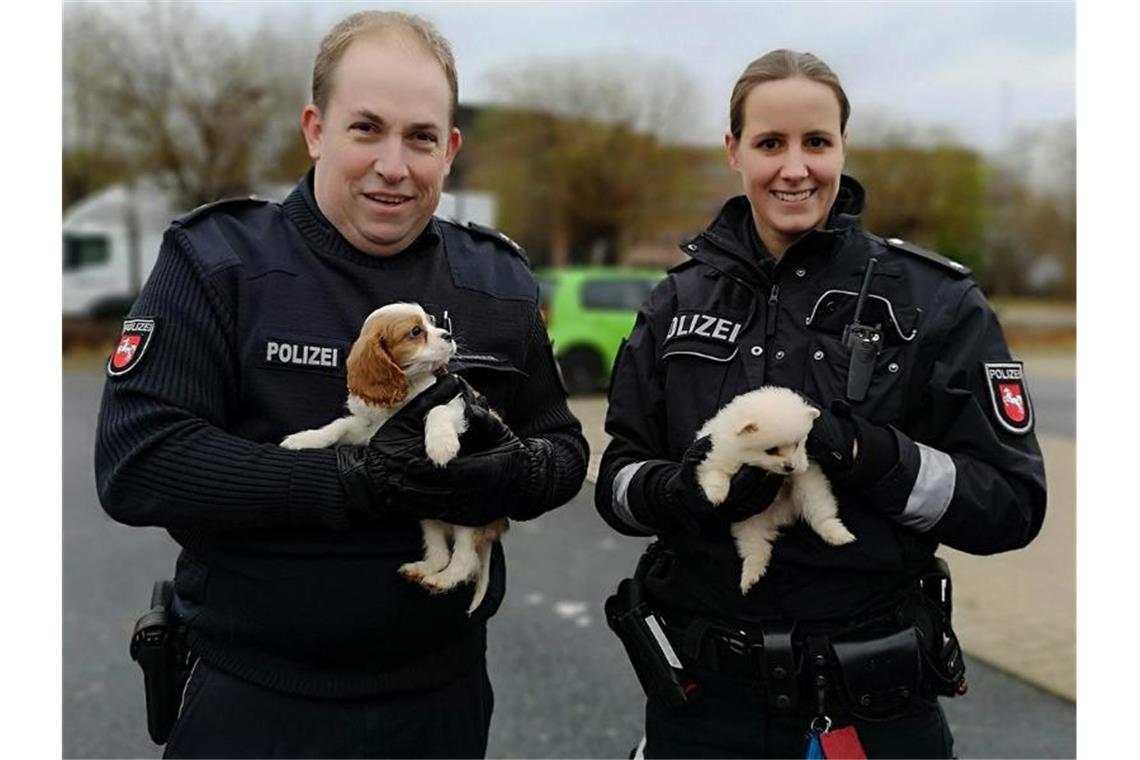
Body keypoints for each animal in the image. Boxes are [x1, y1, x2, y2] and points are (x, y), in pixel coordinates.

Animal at [280, 300, 508, 615]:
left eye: (433, 322)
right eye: (415, 332)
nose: (448, 336)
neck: (409, 388)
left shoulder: (457, 402)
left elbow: (436, 409)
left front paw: (440, 445)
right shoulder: (369, 428)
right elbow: (338, 426)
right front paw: (305, 439)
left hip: (471, 510)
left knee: (466, 557)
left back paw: (444, 579)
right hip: (426, 511)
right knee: (440, 551)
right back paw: (424, 570)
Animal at [693, 389, 857, 597]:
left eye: (797, 444)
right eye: (771, 450)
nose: (790, 467)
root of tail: (779, 516)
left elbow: (804, 465)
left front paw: (801, 463)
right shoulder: (713, 458)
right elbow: (716, 474)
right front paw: (716, 496)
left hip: (811, 494)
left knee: (821, 515)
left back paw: (838, 534)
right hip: (747, 522)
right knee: (756, 548)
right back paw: (751, 575)